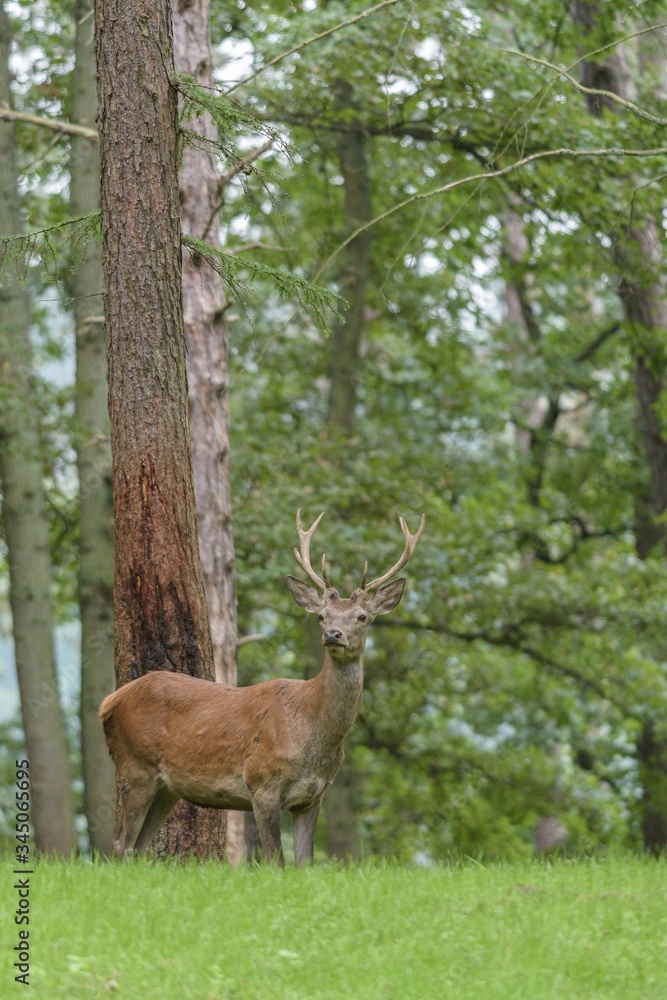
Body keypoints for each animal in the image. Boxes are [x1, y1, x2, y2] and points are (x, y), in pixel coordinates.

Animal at [99, 509, 425, 865]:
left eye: (362, 616)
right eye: (322, 616)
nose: (333, 634)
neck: (314, 730)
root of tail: (108, 702)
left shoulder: (313, 796)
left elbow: (305, 862)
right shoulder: (262, 783)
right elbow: (275, 861)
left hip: (166, 787)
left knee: (138, 846)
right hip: (134, 765)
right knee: (119, 843)